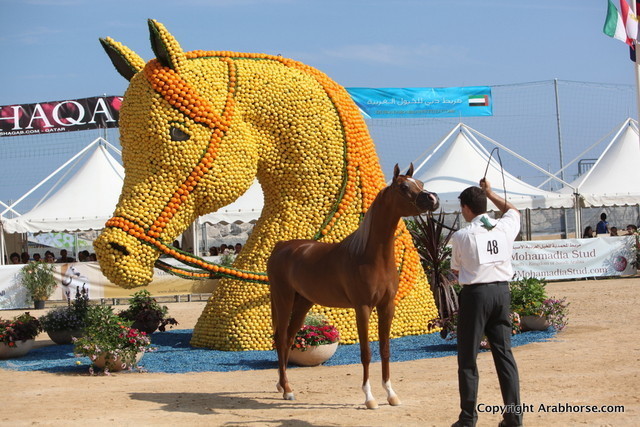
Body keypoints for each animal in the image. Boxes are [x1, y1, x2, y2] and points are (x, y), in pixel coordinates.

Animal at [268, 164, 439, 408]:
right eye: (403, 187)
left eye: (421, 184)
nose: (433, 199)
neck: (369, 256)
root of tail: (281, 246)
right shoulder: (363, 308)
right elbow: (366, 353)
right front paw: (369, 398)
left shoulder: (387, 306)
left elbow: (385, 350)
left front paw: (391, 394)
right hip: (283, 299)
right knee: (281, 340)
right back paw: (287, 390)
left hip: (302, 303)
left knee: (289, 339)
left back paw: (283, 386)